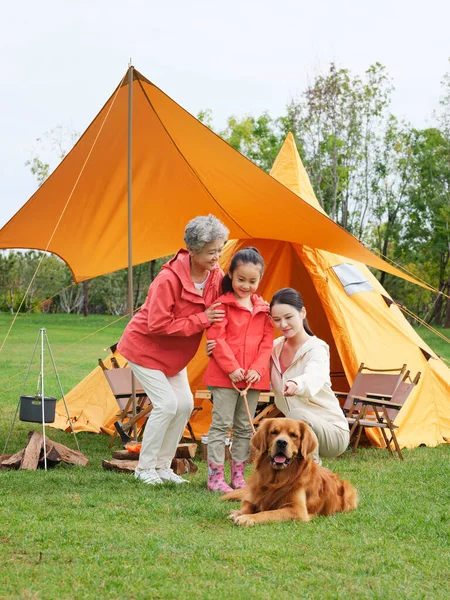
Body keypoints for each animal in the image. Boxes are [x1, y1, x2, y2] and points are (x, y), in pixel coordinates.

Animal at [220, 418, 356, 524]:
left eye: (293, 435)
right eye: (274, 432)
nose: (281, 442)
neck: (276, 479)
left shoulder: (297, 510)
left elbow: (269, 513)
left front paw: (248, 518)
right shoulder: (254, 495)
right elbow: (247, 504)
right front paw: (239, 513)